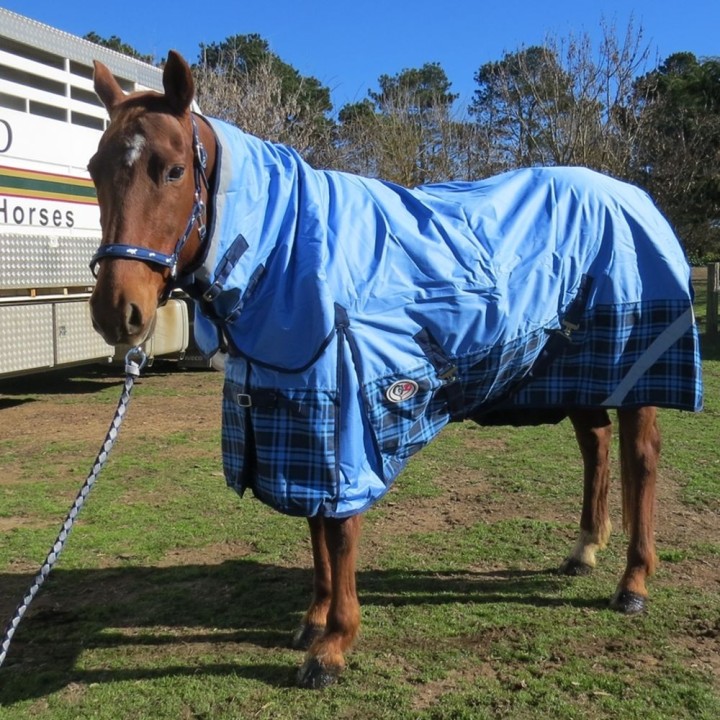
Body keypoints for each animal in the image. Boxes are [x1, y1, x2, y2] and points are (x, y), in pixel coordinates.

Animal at [87, 50, 702, 689]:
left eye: (173, 170)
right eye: (94, 169)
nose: (116, 310)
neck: (286, 255)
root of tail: (635, 196)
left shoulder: (344, 418)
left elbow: (339, 532)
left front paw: (333, 644)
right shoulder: (298, 415)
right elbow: (315, 524)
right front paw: (314, 619)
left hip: (637, 369)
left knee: (640, 459)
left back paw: (633, 582)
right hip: (578, 370)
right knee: (595, 445)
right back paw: (583, 550)